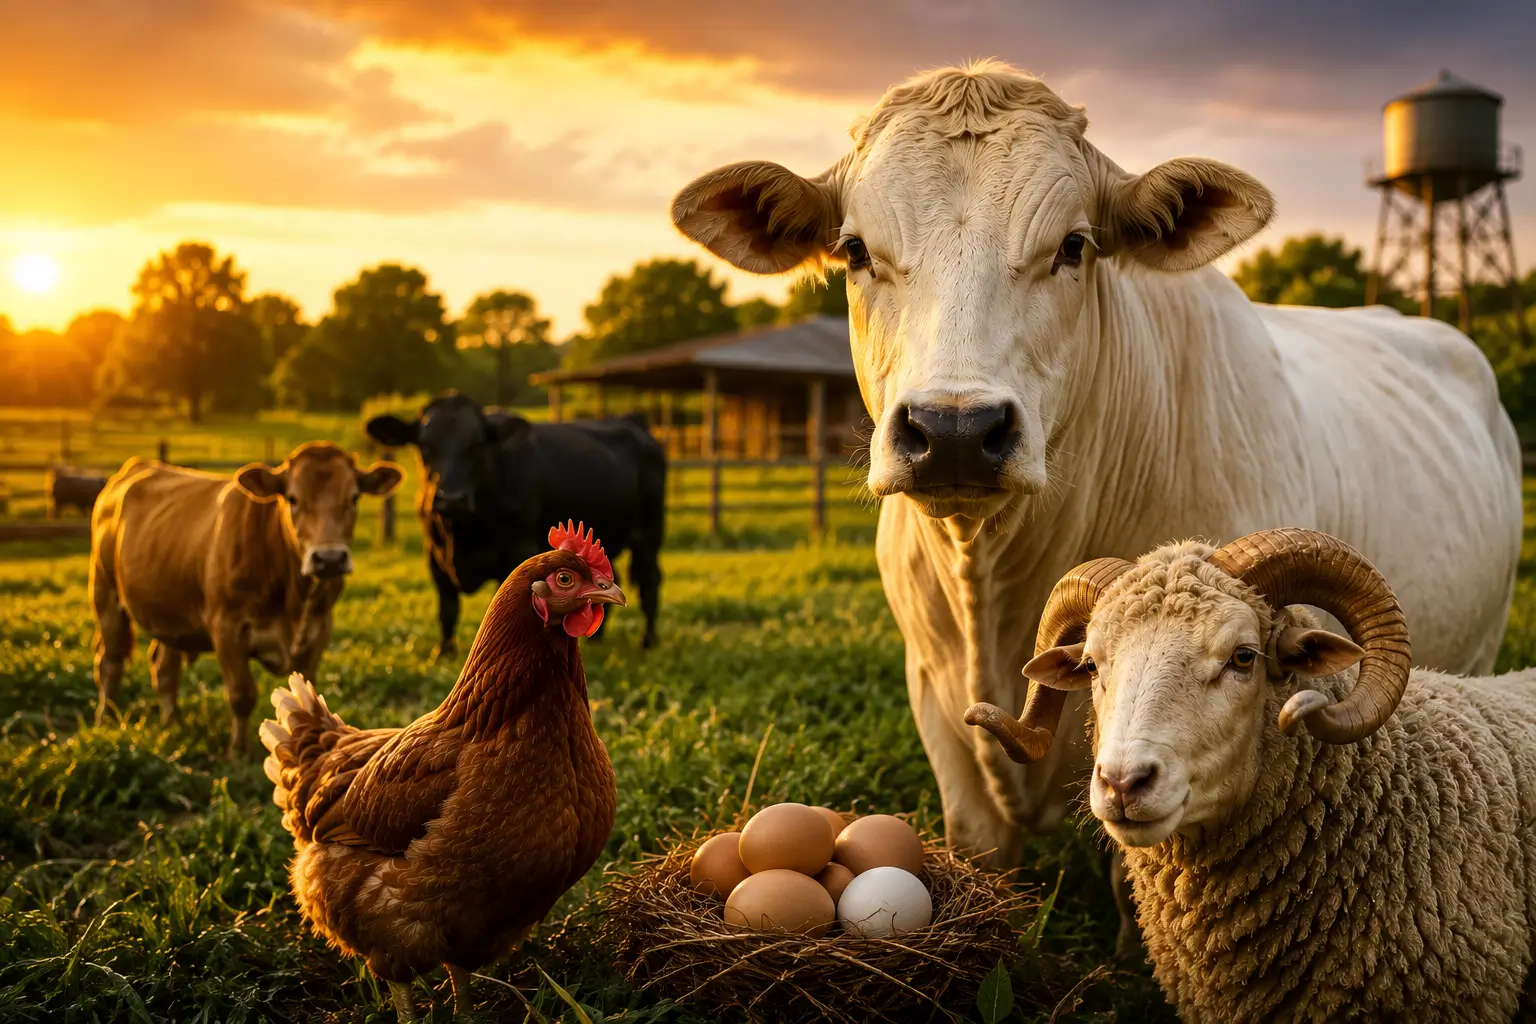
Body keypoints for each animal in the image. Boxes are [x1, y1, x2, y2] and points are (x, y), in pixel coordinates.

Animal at [88, 443, 402, 757]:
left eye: (354, 497)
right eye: (293, 498)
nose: (330, 558)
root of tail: (139, 465)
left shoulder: (320, 629)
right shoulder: (227, 628)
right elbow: (242, 694)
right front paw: (238, 752)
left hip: (169, 612)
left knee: (164, 667)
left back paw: (172, 723)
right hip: (105, 593)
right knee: (110, 662)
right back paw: (106, 719)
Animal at [364, 393, 666, 656]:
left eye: (477, 446)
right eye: (425, 446)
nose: (451, 499)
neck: (461, 536)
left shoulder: (518, 551)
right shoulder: (434, 555)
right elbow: (447, 608)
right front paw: (444, 653)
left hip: (649, 532)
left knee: (650, 580)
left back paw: (648, 641)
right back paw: (597, 641)